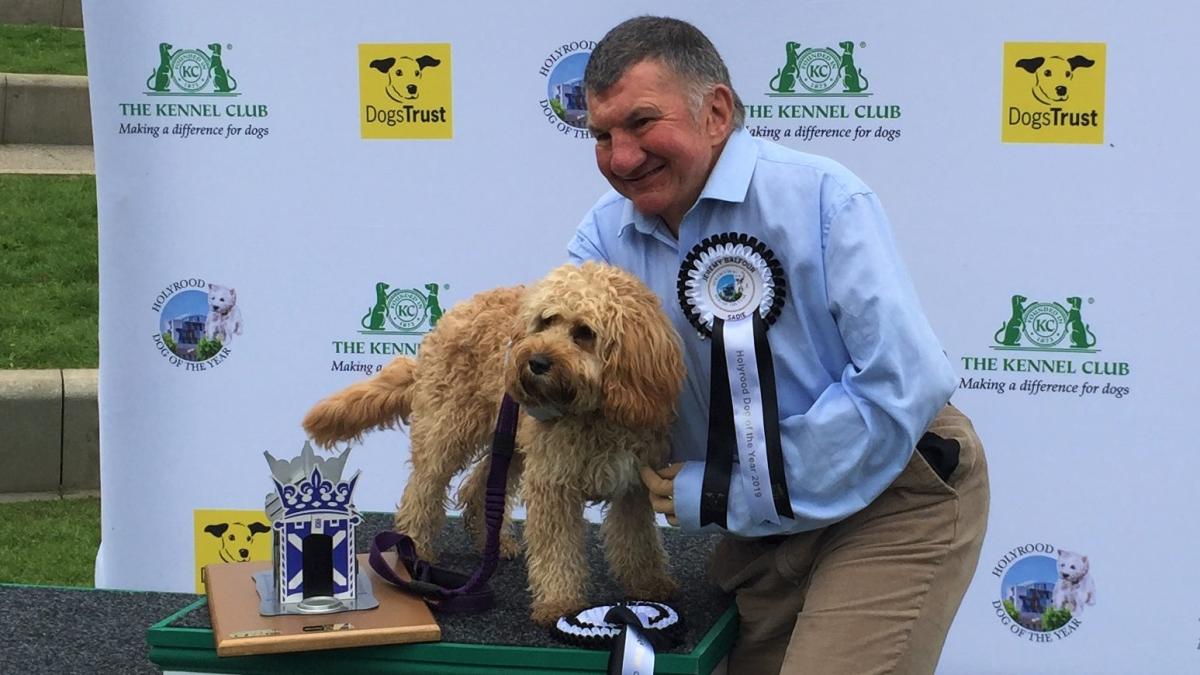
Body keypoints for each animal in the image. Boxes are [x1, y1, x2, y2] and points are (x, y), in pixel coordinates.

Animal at [300, 261, 686, 619]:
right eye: (546, 321)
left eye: (584, 332)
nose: (536, 362)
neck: (594, 415)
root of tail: (451, 315)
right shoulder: (553, 484)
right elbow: (557, 549)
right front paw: (559, 603)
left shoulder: (632, 484)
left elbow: (637, 540)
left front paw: (648, 584)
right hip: (448, 429)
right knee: (422, 490)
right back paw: (416, 550)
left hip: (510, 440)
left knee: (477, 488)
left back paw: (494, 542)